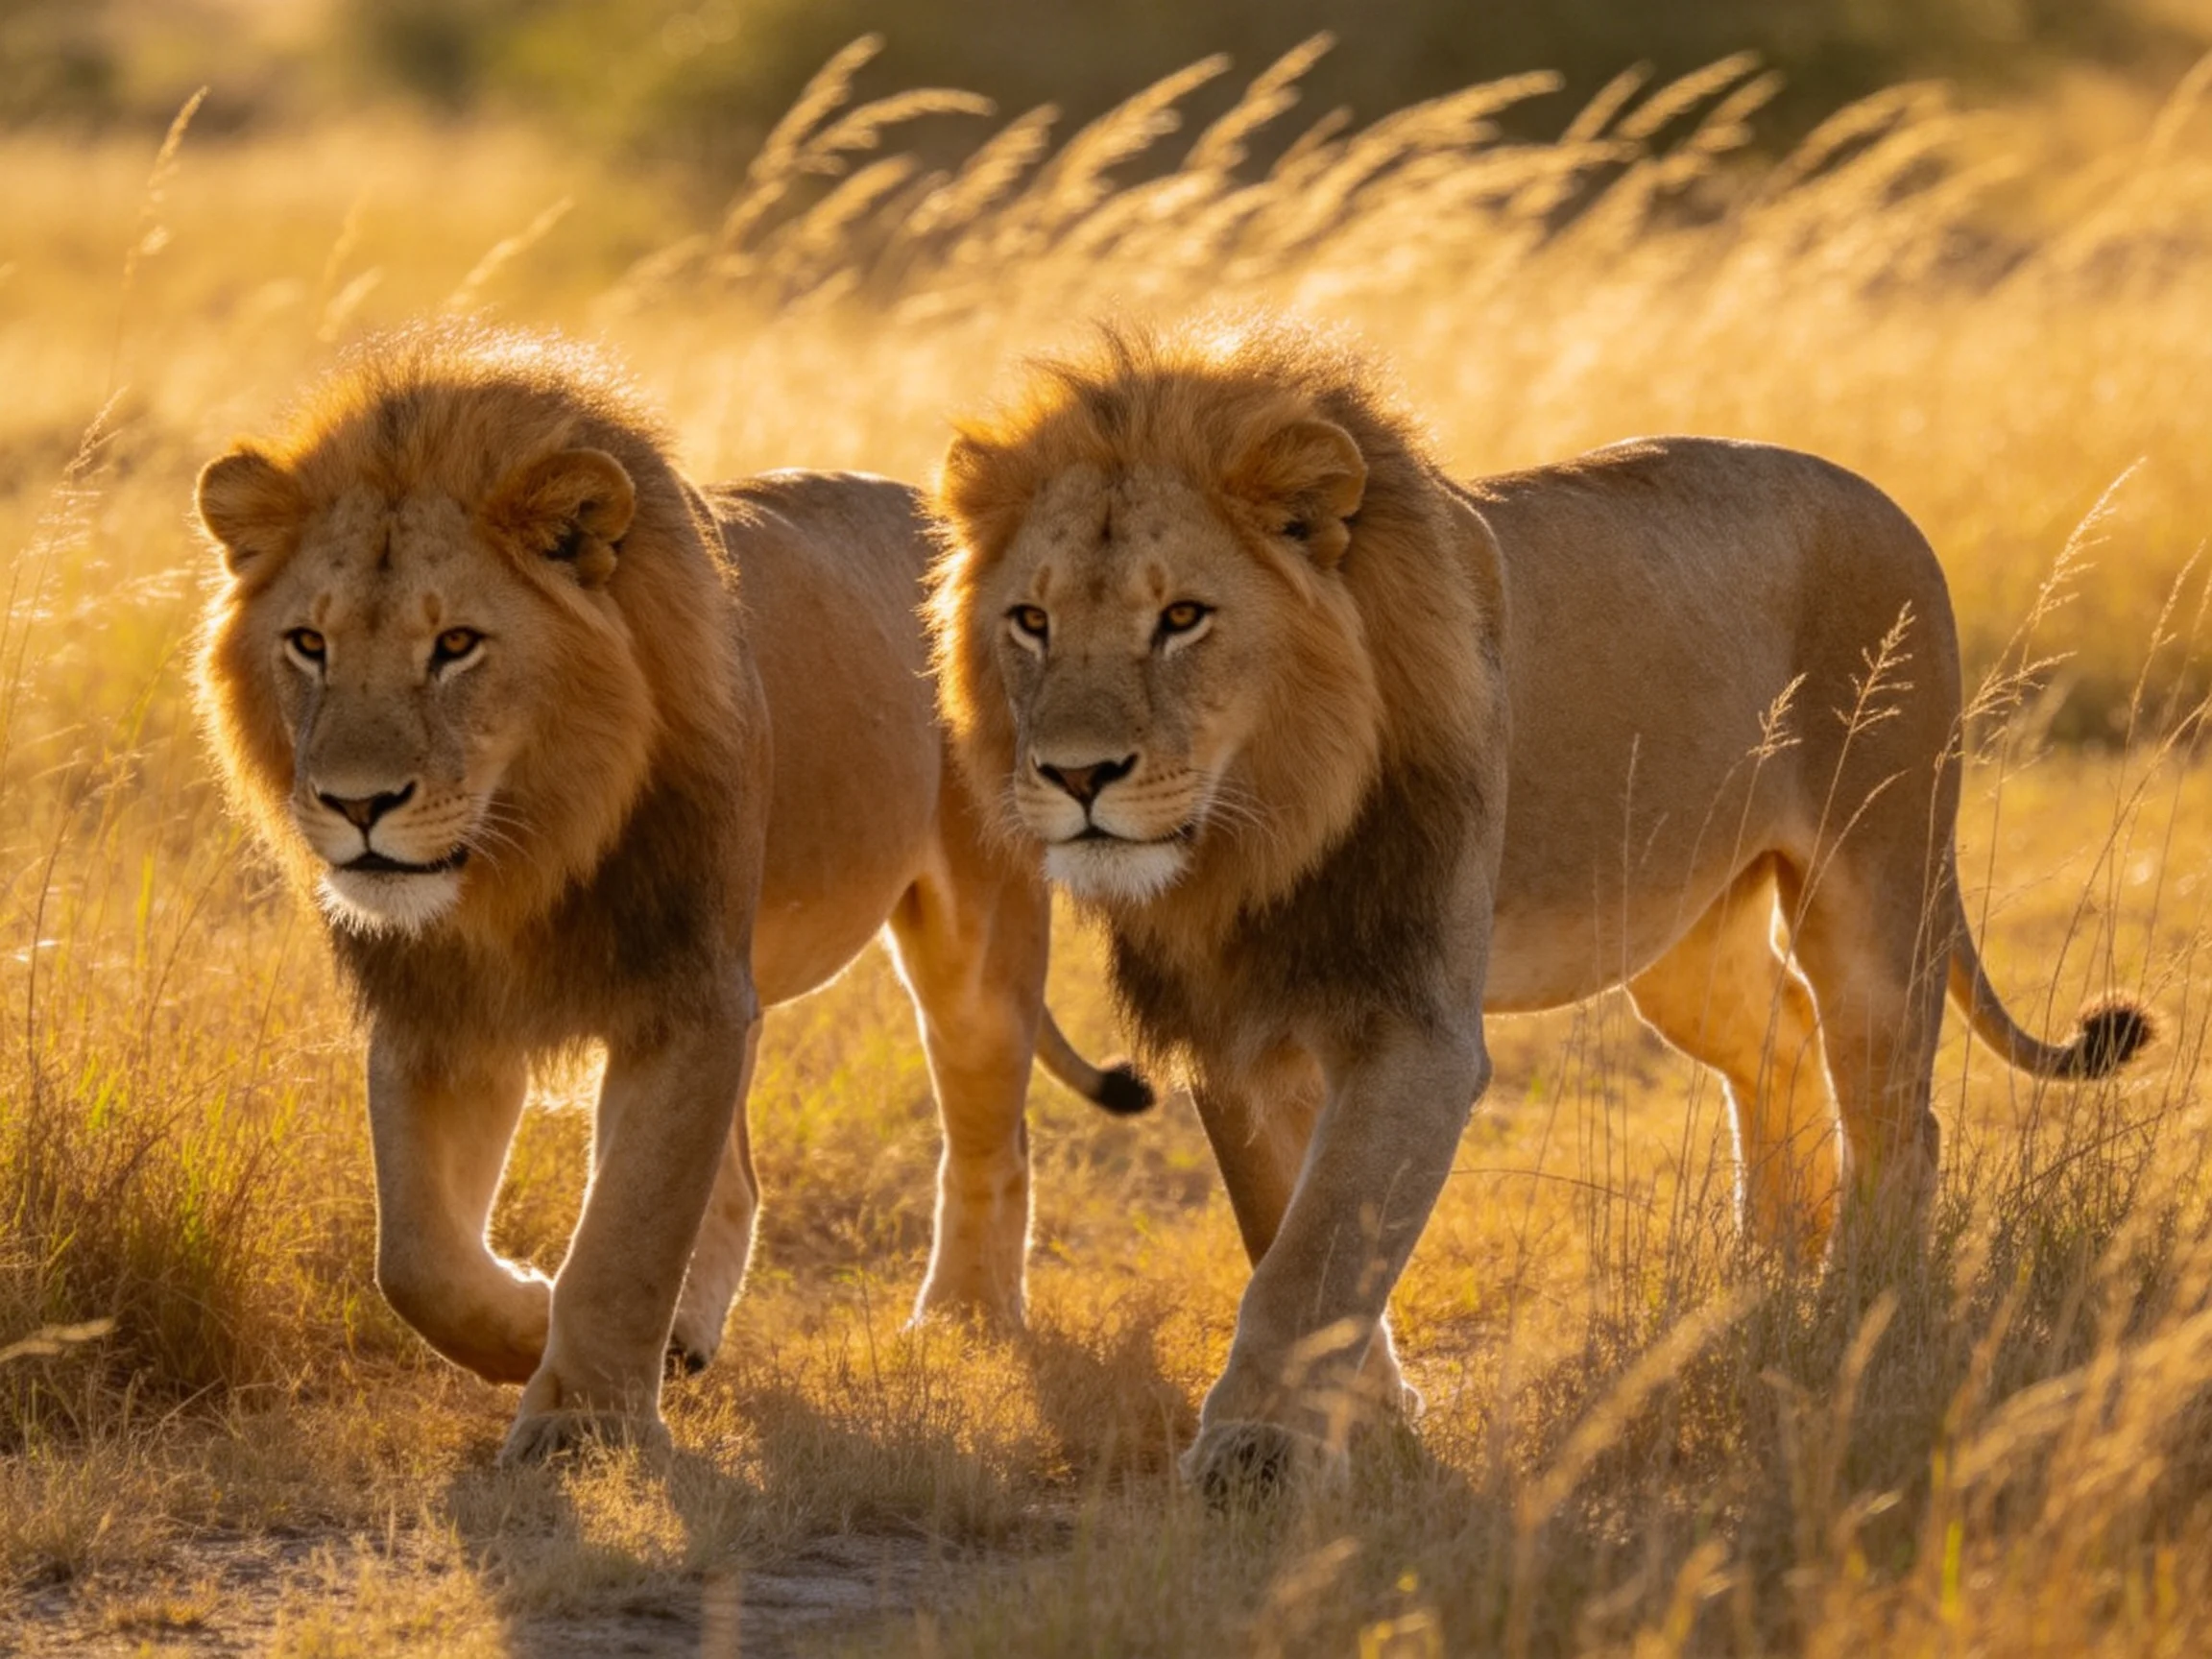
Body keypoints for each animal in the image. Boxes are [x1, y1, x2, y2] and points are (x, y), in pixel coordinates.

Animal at [193, 324, 1149, 1464]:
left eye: (456, 644)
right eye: (309, 643)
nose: (357, 803)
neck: (520, 860)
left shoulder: (684, 998)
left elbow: (628, 1232)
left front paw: (580, 1421)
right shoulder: (444, 1011)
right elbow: (417, 1258)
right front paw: (529, 1323)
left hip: (975, 943)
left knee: (991, 1141)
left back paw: (964, 1321)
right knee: (739, 1179)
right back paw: (692, 1334)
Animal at [925, 315, 2153, 1496]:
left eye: (1183, 616)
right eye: (1030, 621)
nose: (1078, 775)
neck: (1258, 836)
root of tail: (1878, 495)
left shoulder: (1416, 1026)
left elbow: (1317, 1252)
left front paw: (1256, 1455)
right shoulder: (1235, 1029)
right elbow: (1287, 1223)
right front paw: (1374, 1426)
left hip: (1881, 879)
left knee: (1896, 1112)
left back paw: (1863, 1307)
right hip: (1676, 939)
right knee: (1780, 1042)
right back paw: (1765, 1276)